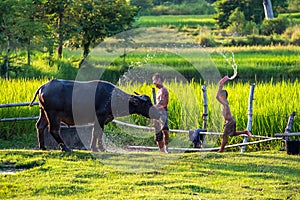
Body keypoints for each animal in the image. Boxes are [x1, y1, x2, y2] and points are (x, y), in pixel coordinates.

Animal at [29, 79, 163, 152]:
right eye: (147, 104)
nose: (157, 113)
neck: (112, 97)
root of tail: (43, 87)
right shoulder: (100, 117)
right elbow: (96, 132)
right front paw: (95, 148)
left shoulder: (102, 119)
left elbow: (99, 133)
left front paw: (101, 148)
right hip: (53, 114)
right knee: (53, 130)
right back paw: (65, 148)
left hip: (43, 112)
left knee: (40, 126)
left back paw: (43, 147)